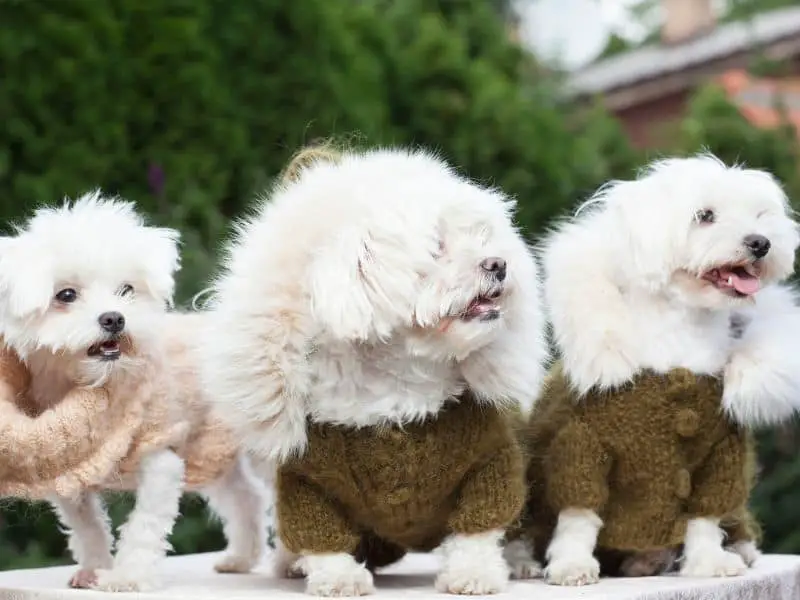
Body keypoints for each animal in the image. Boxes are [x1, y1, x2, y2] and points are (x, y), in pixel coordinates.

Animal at [0, 195, 266, 592]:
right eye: (66, 295)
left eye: (126, 290)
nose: (114, 318)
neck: (98, 386)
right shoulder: (70, 472)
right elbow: (86, 525)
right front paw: (94, 567)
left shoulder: (161, 459)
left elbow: (143, 527)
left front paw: (127, 576)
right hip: (212, 452)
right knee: (246, 497)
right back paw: (241, 558)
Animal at [203, 146, 548, 596]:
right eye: (437, 246)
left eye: (483, 238)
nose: (499, 264)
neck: (399, 385)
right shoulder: (309, 484)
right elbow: (322, 539)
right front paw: (338, 578)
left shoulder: (489, 462)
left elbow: (479, 528)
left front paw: (473, 573)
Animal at [506, 156, 800, 584]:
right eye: (705, 216)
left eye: (759, 215)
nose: (761, 242)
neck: (681, 341)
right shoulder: (582, 444)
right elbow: (578, 515)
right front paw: (572, 565)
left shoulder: (721, 455)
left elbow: (703, 517)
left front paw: (708, 561)